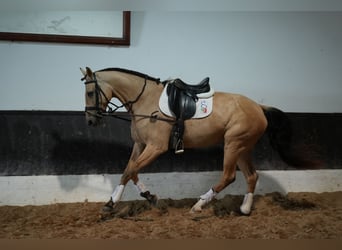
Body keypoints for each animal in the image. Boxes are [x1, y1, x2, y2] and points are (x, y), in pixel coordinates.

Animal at [80, 67, 316, 215]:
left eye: (90, 92)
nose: (90, 120)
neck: (145, 100)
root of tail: (259, 107)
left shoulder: (155, 147)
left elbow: (131, 170)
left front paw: (142, 199)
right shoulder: (140, 145)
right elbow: (129, 171)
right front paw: (123, 200)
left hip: (233, 144)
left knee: (229, 176)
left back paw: (198, 205)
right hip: (242, 147)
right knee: (251, 176)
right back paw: (245, 209)